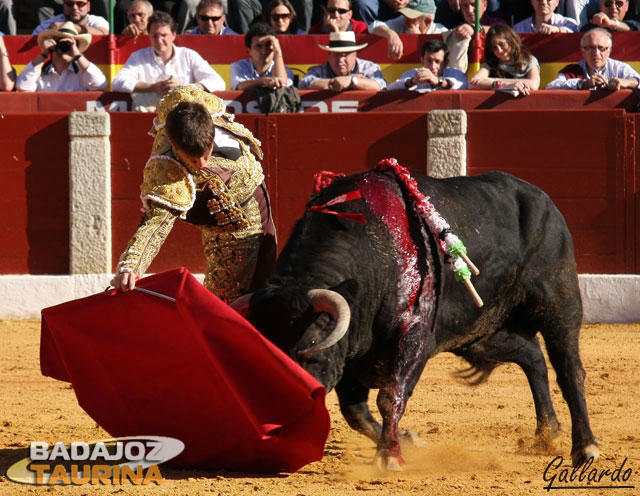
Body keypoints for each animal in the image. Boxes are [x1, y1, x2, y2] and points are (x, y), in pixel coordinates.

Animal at [246, 170, 600, 468]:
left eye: (310, 351)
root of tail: (544, 200)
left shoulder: (414, 337)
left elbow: (390, 396)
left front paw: (390, 456)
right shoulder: (350, 353)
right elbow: (356, 412)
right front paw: (406, 441)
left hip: (558, 302)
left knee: (569, 369)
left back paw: (584, 447)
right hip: (478, 331)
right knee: (532, 355)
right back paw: (547, 433)